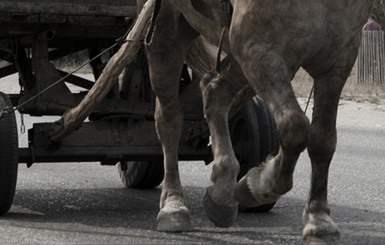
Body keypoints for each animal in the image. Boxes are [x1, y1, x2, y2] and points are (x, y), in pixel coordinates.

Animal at [139, 0, 376, 243]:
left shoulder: (338, 59)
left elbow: (323, 140)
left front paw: (318, 219)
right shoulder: (258, 49)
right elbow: (296, 127)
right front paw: (254, 186)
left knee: (214, 90)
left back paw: (222, 191)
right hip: (170, 29)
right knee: (169, 120)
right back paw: (173, 204)